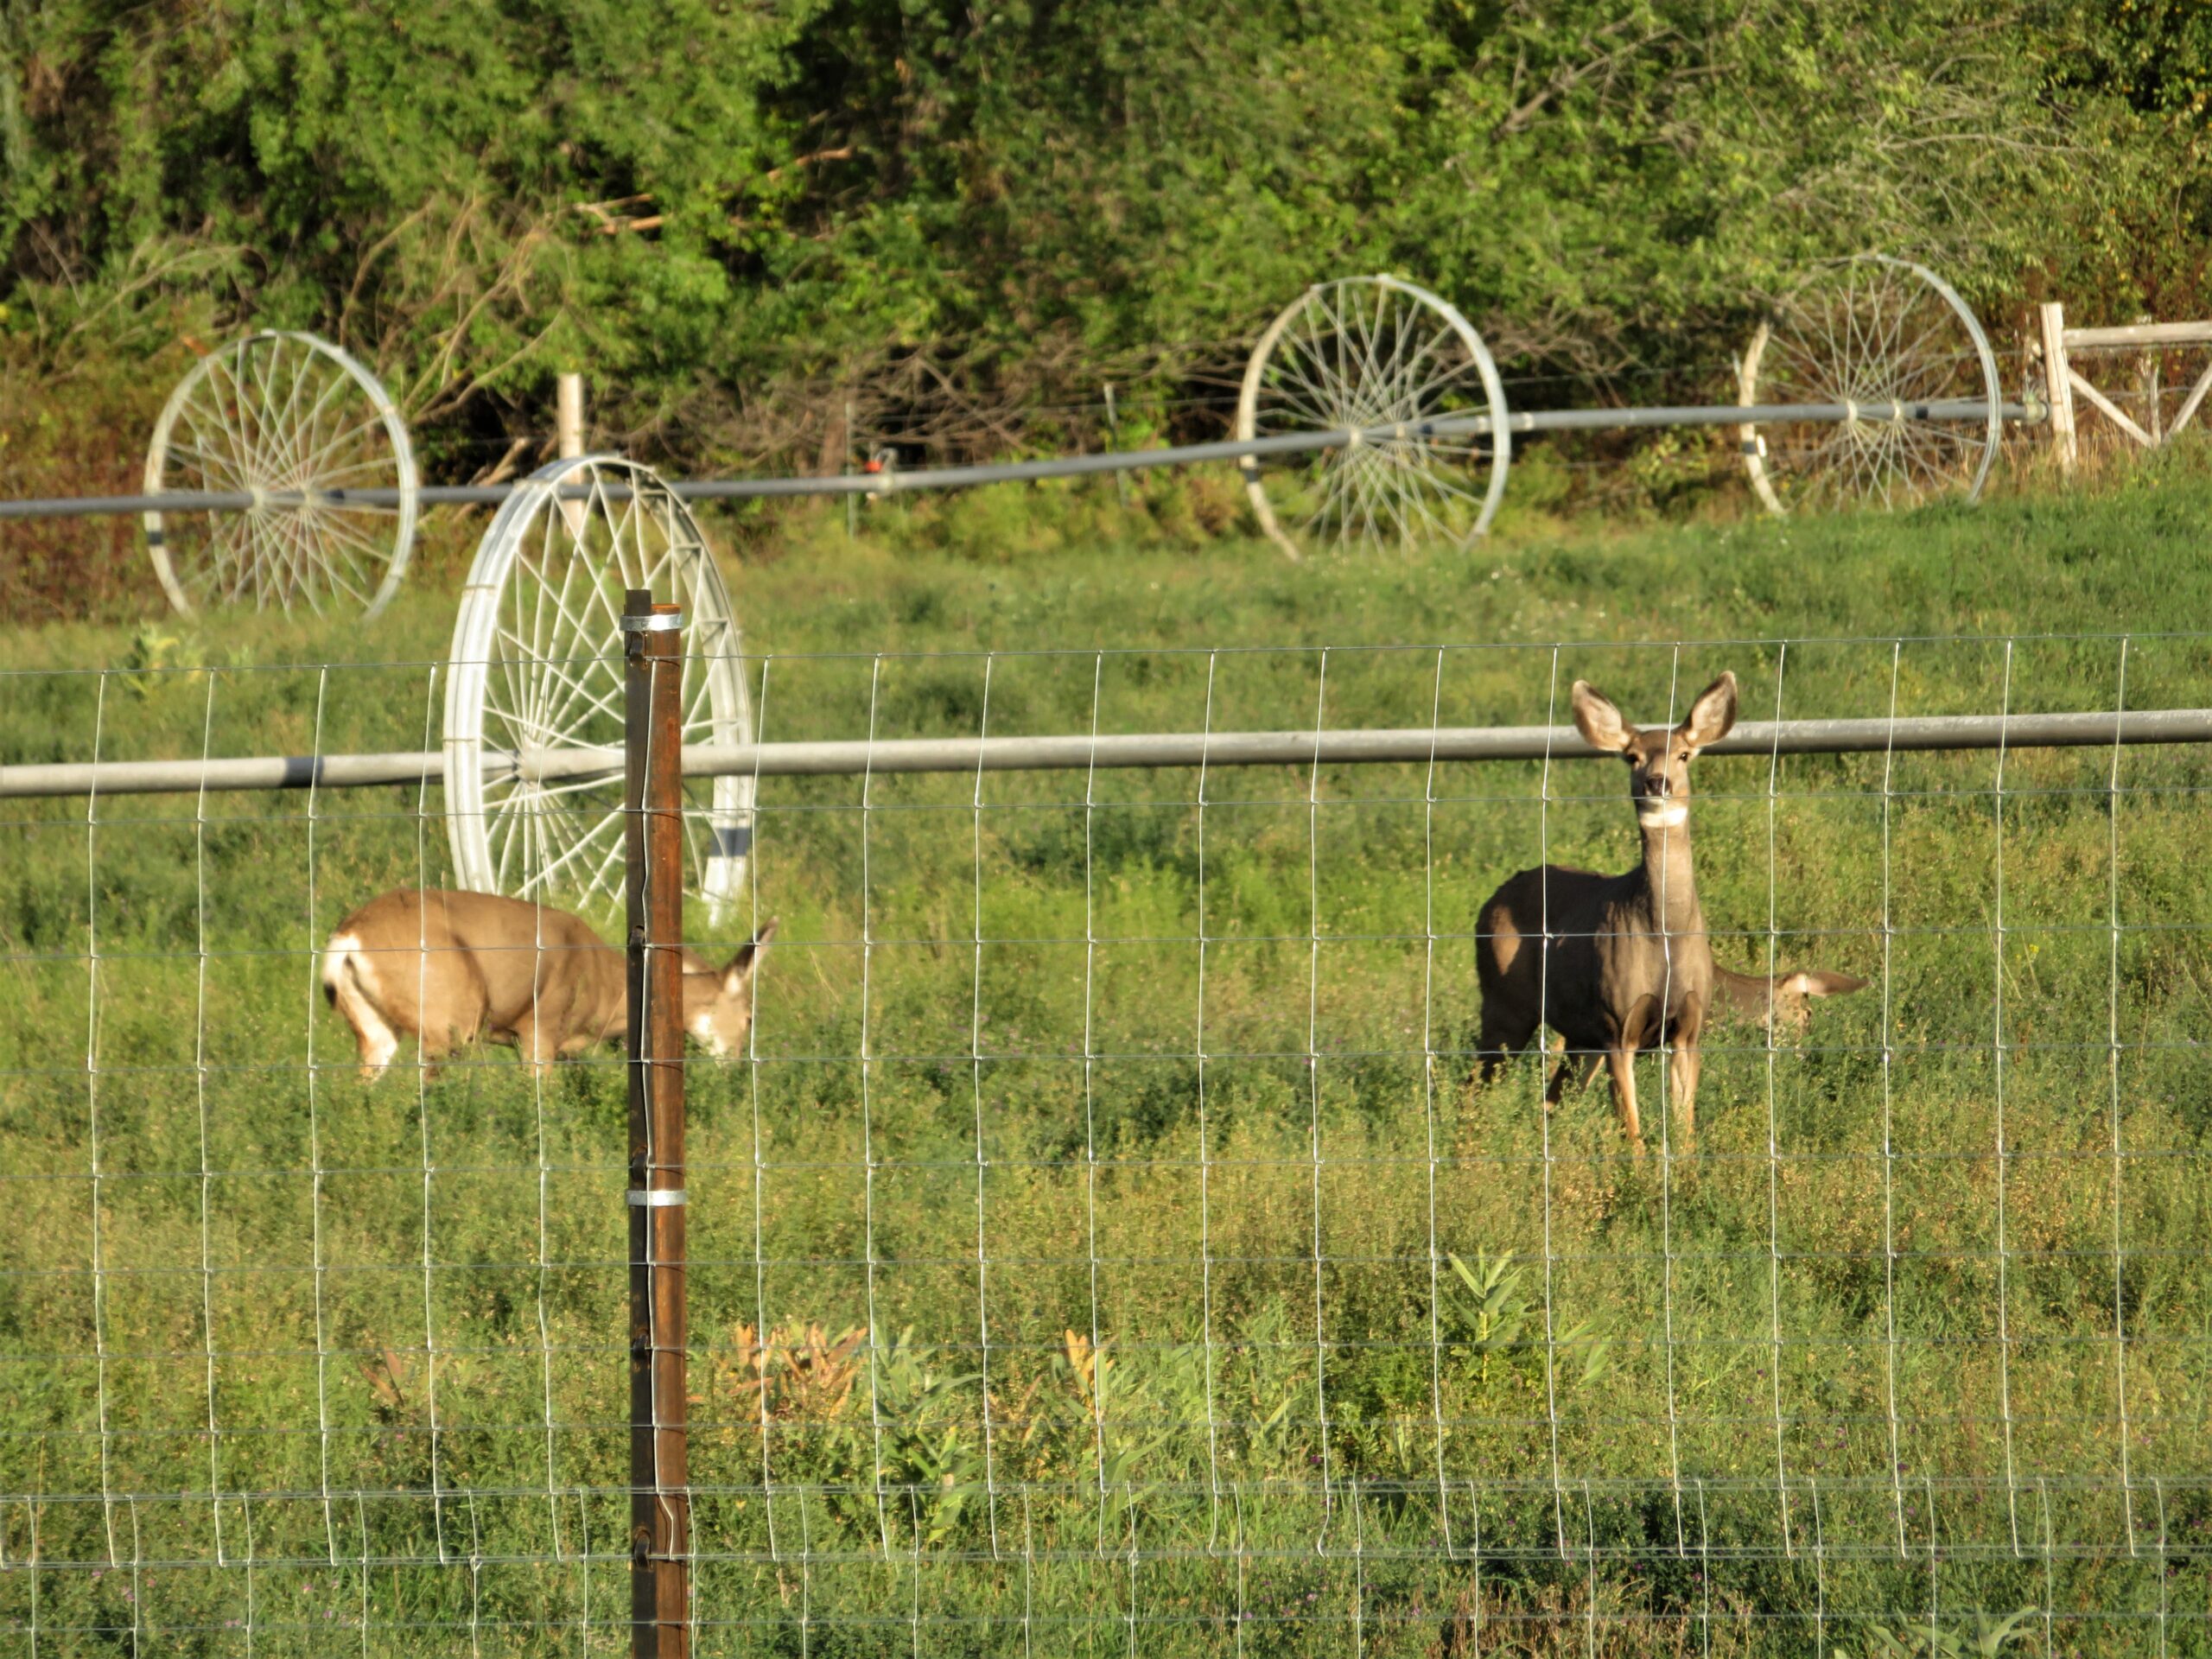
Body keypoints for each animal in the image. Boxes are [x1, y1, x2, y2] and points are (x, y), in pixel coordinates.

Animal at [321, 887, 775, 1083]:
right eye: (750, 1018)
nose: (736, 1070)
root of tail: (348, 937)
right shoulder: (540, 1029)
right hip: (449, 1019)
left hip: (375, 1027)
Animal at [1472, 671, 1865, 1152]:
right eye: (1632, 756)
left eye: (1684, 754)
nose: (1657, 781)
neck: (1664, 937)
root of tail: (1490, 901)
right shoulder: (1617, 1027)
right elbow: (1635, 1132)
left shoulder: (1685, 1031)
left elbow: (1685, 1128)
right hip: (1506, 1004)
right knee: (1474, 1085)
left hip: (1576, 1034)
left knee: (1552, 1097)